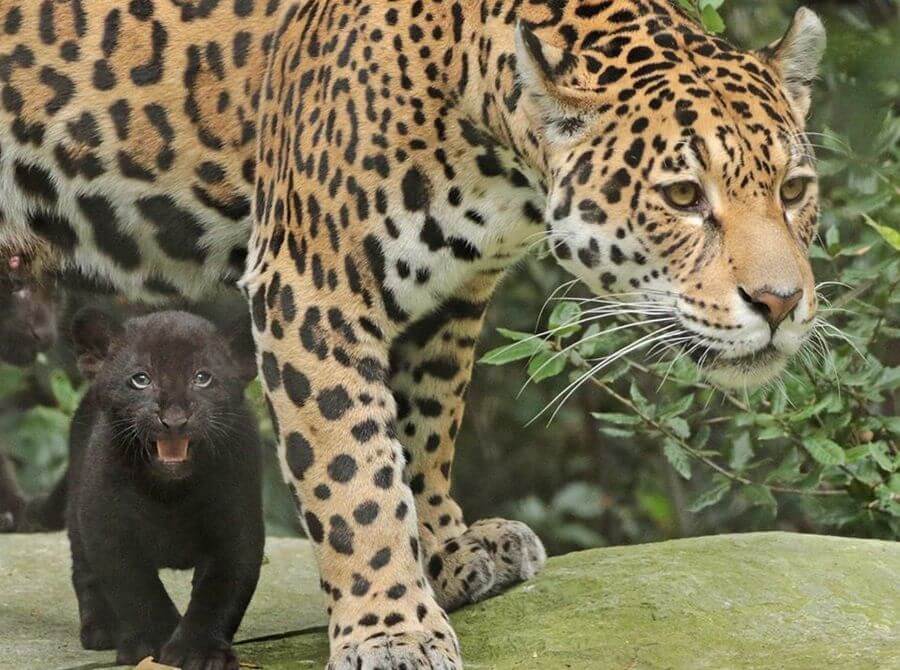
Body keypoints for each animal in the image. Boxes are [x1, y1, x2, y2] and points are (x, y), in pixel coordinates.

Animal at [0, 1, 825, 668]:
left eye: (794, 189)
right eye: (683, 196)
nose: (781, 303)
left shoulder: (450, 297)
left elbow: (422, 435)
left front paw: (449, 557)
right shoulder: (312, 288)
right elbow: (353, 472)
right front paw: (391, 630)